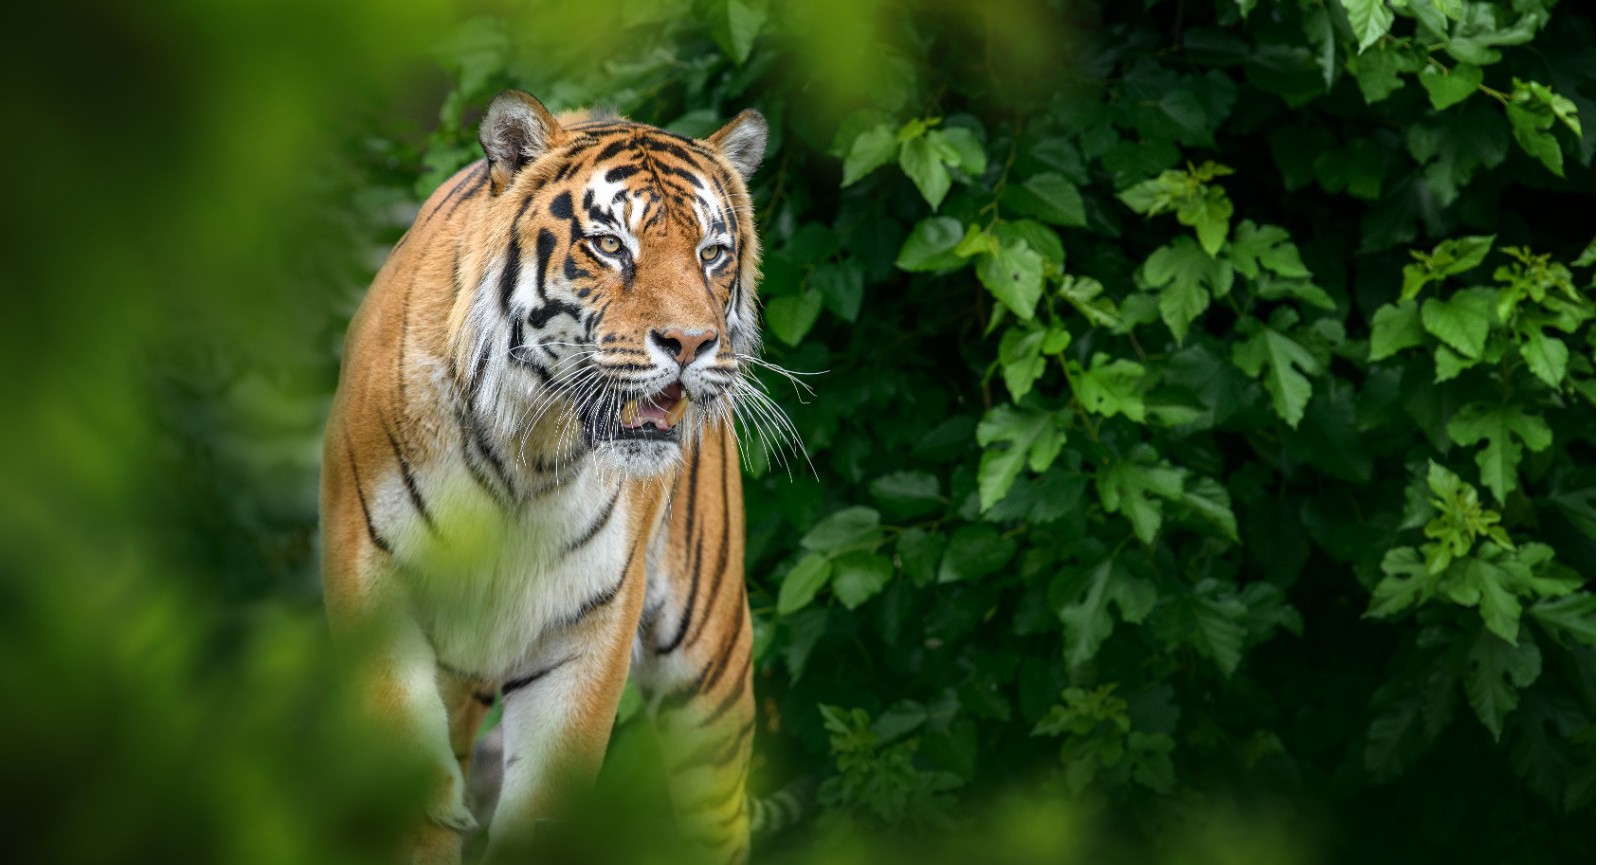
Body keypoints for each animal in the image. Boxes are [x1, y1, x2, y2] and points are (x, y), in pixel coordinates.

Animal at [320, 90, 773, 864]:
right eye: (611, 245)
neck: (528, 451)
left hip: (708, 665)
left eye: (711, 253)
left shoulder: (589, 626)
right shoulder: (376, 595)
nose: (691, 343)